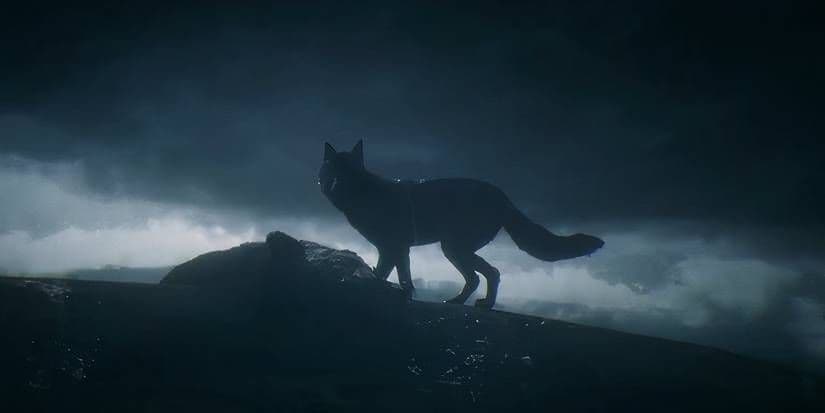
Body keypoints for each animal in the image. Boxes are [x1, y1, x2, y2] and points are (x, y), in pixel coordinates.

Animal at [319, 140, 604, 309]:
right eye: (332, 171)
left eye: (349, 172)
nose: (335, 185)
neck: (366, 192)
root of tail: (503, 196)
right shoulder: (392, 250)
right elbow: (389, 275)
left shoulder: (394, 248)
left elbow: (397, 277)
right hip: (455, 250)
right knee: (483, 276)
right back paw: (465, 302)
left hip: (453, 249)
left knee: (487, 274)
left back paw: (476, 303)